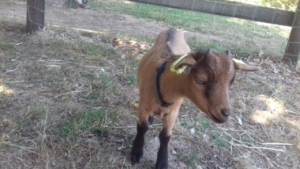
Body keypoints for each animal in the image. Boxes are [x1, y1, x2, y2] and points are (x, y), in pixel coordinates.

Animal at [131, 28, 258, 168]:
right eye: (200, 80)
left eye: (231, 82)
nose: (225, 114)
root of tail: (173, 29)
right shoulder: (144, 105)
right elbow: (142, 127)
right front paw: (136, 153)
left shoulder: (173, 112)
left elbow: (165, 136)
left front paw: (162, 162)